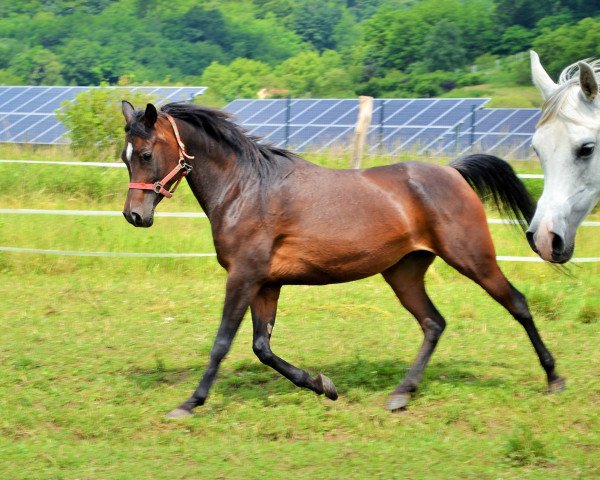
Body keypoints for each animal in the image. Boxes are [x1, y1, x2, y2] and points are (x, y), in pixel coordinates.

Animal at [120, 101, 564, 416]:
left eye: (145, 154)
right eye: (125, 157)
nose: (134, 215)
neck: (246, 189)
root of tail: (454, 172)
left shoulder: (243, 277)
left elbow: (222, 342)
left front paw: (189, 403)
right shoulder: (267, 283)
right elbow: (262, 347)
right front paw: (323, 386)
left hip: (473, 258)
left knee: (517, 303)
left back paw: (554, 378)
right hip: (403, 272)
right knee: (433, 323)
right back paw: (401, 394)